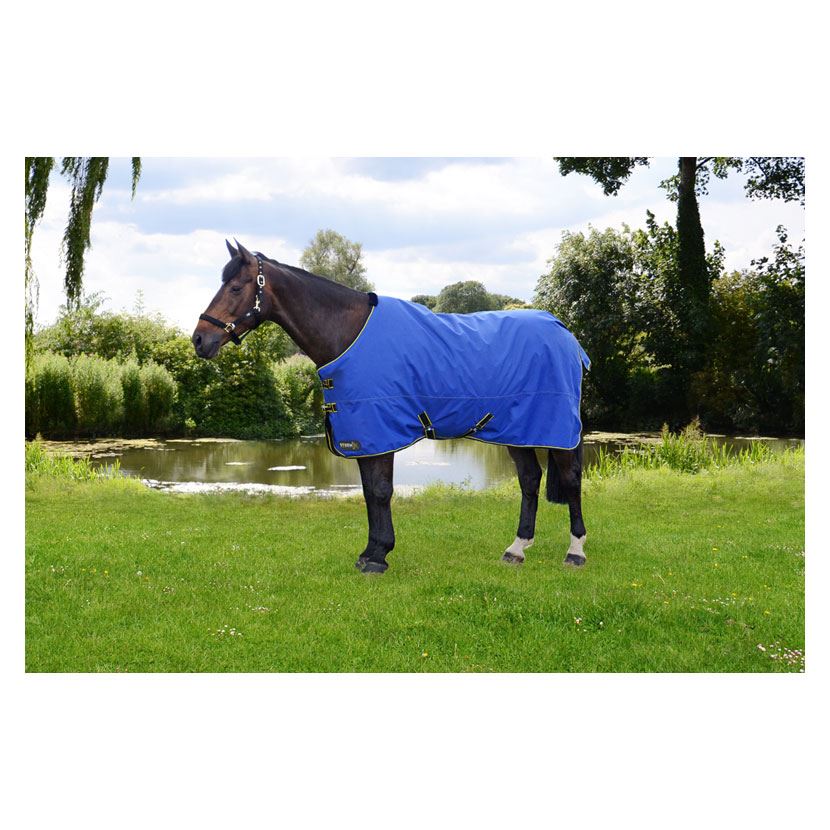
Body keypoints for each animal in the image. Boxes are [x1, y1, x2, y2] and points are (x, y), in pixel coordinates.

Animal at [192, 239, 588, 574]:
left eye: (236, 287)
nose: (199, 339)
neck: (348, 333)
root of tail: (562, 330)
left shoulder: (380, 430)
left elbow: (381, 491)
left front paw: (377, 558)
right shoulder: (362, 435)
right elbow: (370, 492)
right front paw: (371, 552)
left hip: (556, 429)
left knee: (570, 479)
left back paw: (575, 552)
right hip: (515, 429)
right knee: (530, 479)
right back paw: (516, 549)